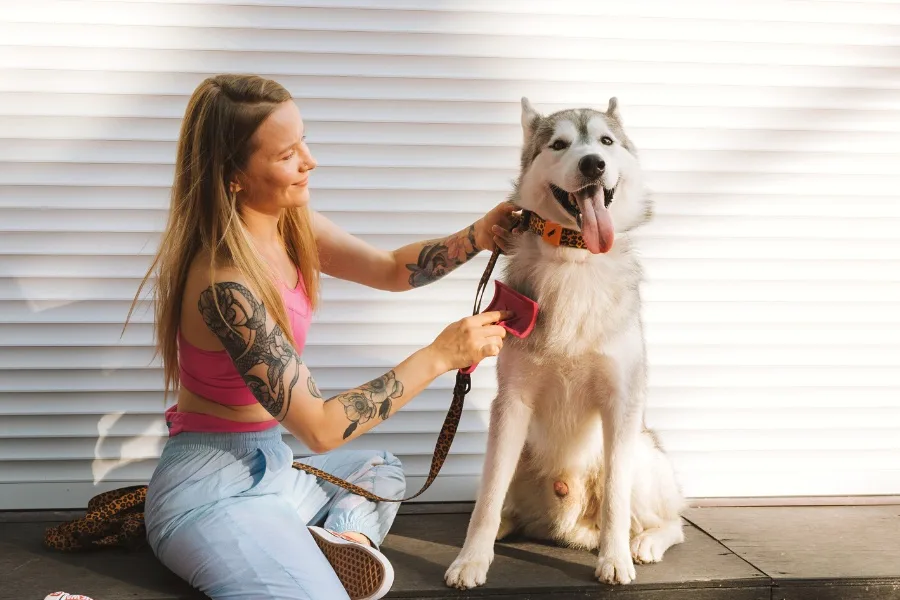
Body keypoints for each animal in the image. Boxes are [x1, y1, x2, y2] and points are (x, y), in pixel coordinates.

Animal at [444, 97, 688, 584]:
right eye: (559, 144)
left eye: (606, 141)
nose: (593, 163)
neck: (576, 259)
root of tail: (571, 525)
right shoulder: (511, 402)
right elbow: (487, 499)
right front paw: (471, 558)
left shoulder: (620, 402)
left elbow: (616, 498)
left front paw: (615, 559)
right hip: (517, 453)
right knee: (503, 499)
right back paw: (508, 526)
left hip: (642, 454)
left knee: (672, 522)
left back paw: (645, 542)